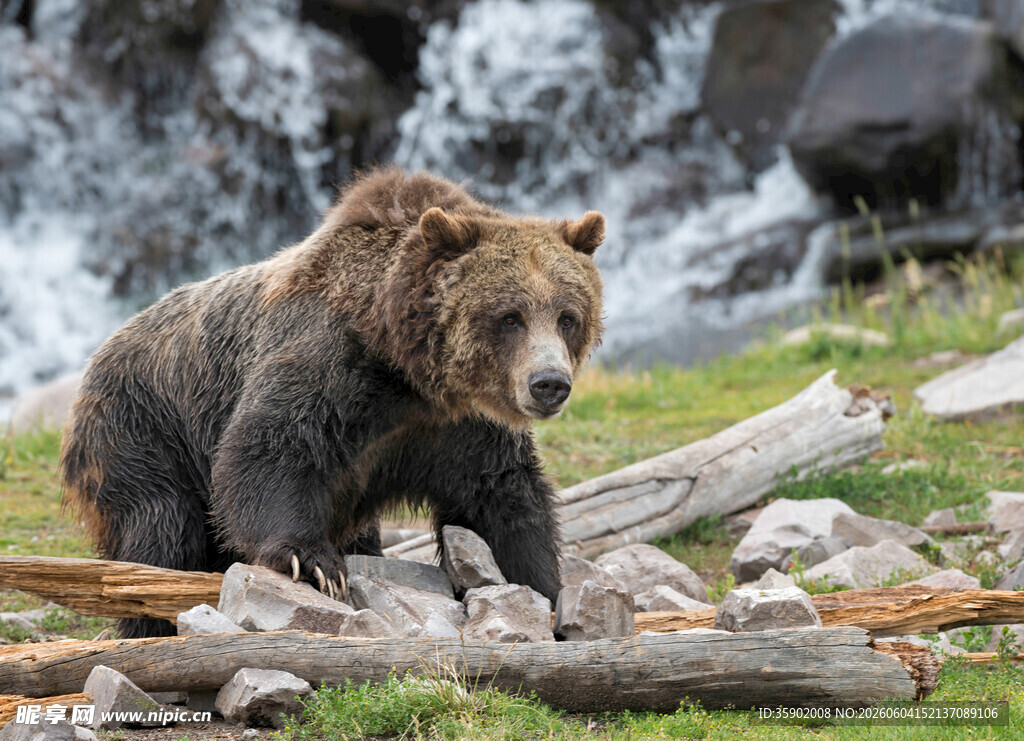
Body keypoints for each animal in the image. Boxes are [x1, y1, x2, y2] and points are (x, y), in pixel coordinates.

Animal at [60, 166, 605, 638]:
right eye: (510, 316)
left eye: (567, 316)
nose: (549, 383)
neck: (406, 370)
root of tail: (97, 358)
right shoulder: (330, 366)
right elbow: (269, 449)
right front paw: (314, 562)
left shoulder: (456, 428)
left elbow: (503, 497)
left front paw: (545, 590)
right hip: (142, 431)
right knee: (160, 532)